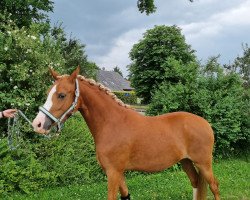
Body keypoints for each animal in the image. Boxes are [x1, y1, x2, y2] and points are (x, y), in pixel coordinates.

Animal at [32, 68, 219, 199]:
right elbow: (126, 196)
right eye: (48, 93)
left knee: (214, 187)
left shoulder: (113, 172)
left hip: (204, 163)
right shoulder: (118, 172)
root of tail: (205, 123)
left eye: (62, 95)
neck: (113, 123)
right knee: (196, 184)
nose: (38, 124)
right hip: (186, 162)